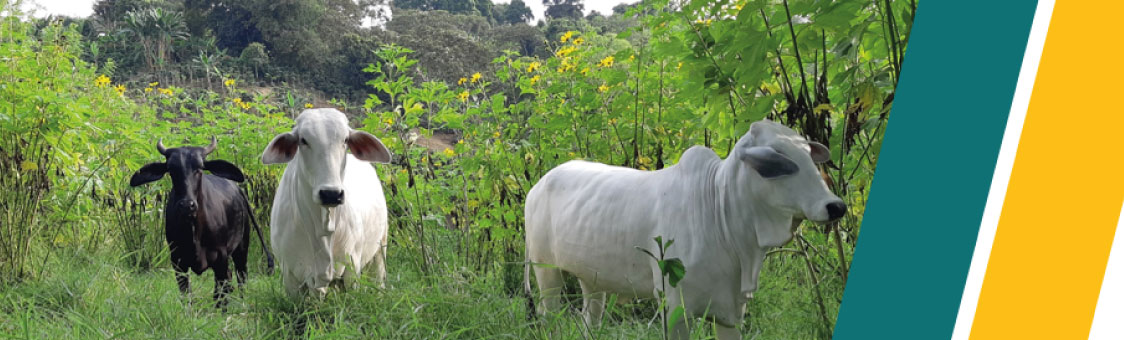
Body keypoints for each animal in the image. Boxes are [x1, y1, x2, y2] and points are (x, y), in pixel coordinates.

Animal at [128, 136, 274, 306]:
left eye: (199, 168)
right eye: (171, 169)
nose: (187, 205)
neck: (194, 230)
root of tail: (238, 188)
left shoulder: (221, 257)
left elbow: (221, 296)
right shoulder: (177, 261)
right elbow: (187, 295)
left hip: (242, 246)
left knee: (241, 276)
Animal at [260, 108, 393, 297]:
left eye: (345, 140)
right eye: (303, 140)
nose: (331, 194)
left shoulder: (352, 268)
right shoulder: (290, 274)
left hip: (380, 249)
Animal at [523, 119, 845, 337]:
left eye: (808, 155)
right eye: (778, 162)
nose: (836, 206)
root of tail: (538, 185)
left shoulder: (731, 312)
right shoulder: (675, 308)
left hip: (592, 279)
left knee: (591, 316)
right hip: (546, 271)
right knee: (548, 315)